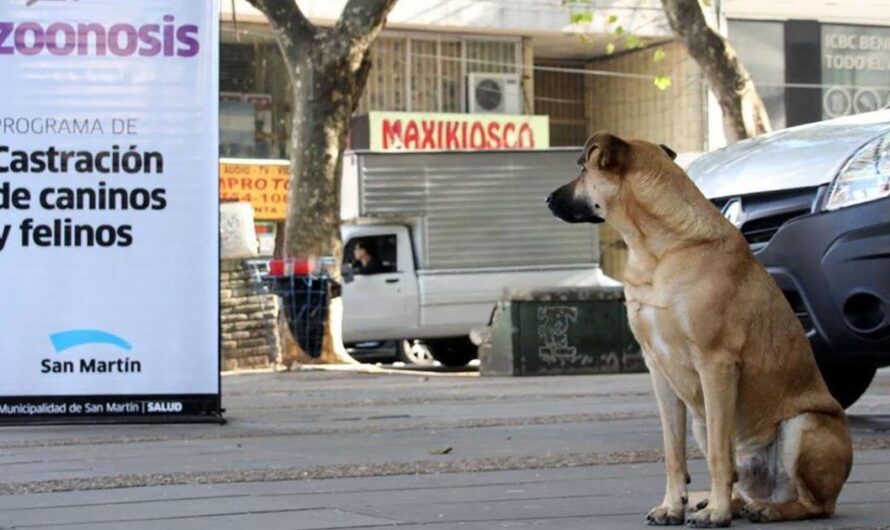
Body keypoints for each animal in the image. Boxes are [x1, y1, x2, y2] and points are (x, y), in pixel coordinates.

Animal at [544, 131, 848, 524]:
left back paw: (762, 508)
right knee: (740, 480)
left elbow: (720, 455)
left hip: (804, 426)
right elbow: (673, 452)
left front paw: (715, 514)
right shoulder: (659, 371)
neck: (658, 250)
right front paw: (674, 505)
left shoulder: (715, 364)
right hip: (702, 422)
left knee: (813, 504)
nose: (547, 199)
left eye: (583, 169)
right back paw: (729, 502)